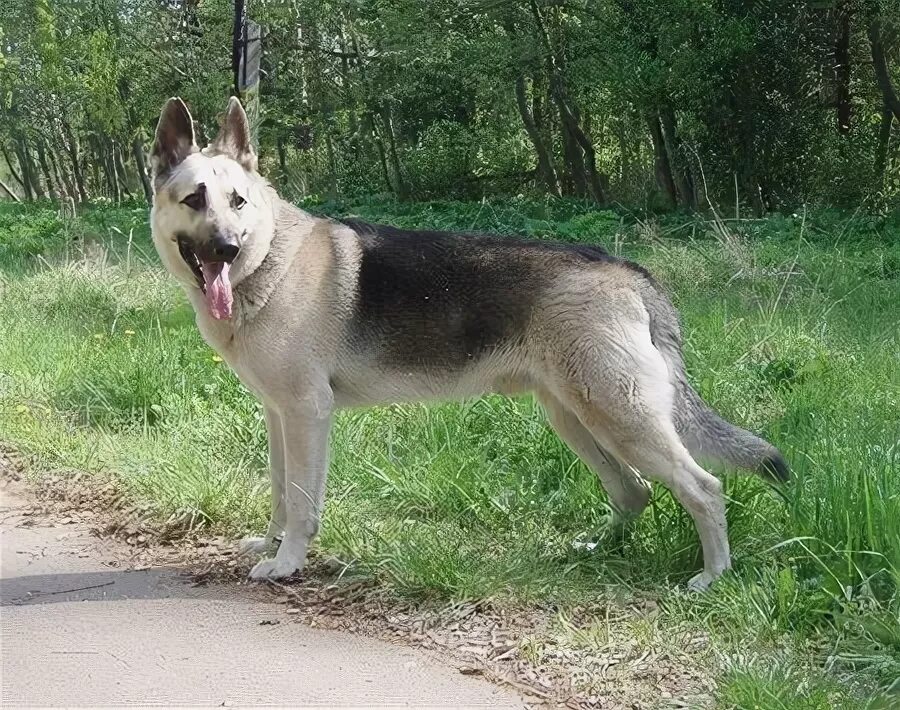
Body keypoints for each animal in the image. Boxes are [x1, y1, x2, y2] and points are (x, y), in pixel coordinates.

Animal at [149, 97, 788, 592]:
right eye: (194, 200)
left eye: (238, 202)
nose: (228, 249)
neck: (267, 263)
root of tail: (628, 270)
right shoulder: (278, 415)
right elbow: (282, 492)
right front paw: (270, 545)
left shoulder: (308, 414)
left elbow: (304, 501)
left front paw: (286, 565)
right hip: (576, 418)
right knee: (634, 492)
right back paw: (595, 555)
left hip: (619, 416)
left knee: (704, 488)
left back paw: (713, 577)